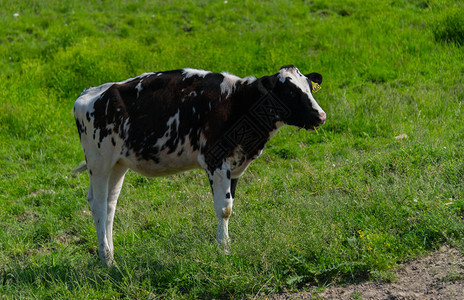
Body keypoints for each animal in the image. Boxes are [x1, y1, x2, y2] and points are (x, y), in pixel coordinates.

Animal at [73, 65, 326, 264]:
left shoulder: (235, 165)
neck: (237, 102)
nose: (321, 116)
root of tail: (89, 93)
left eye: (309, 87)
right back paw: (106, 260)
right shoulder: (216, 160)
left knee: (110, 205)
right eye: (290, 92)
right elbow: (224, 209)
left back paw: (111, 256)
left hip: (118, 164)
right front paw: (224, 250)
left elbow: (230, 205)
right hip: (99, 162)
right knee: (97, 204)